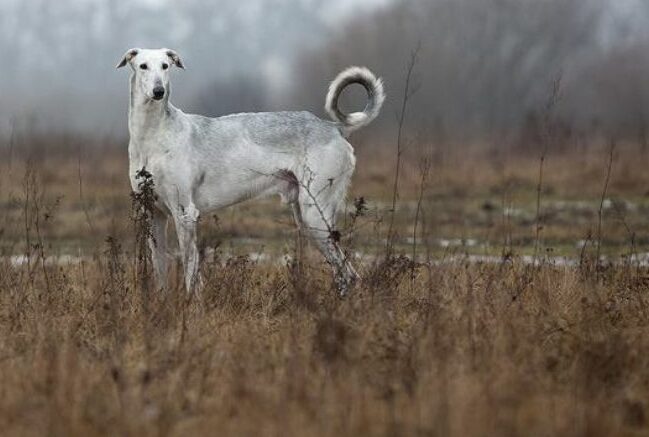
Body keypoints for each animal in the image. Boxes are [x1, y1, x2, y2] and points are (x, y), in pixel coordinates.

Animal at [117, 48, 384, 296]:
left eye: (165, 66)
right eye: (143, 66)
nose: (158, 91)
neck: (153, 135)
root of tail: (333, 126)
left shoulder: (185, 214)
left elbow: (191, 271)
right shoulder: (154, 214)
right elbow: (160, 270)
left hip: (316, 216)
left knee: (349, 275)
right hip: (306, 217)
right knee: (343, 273)